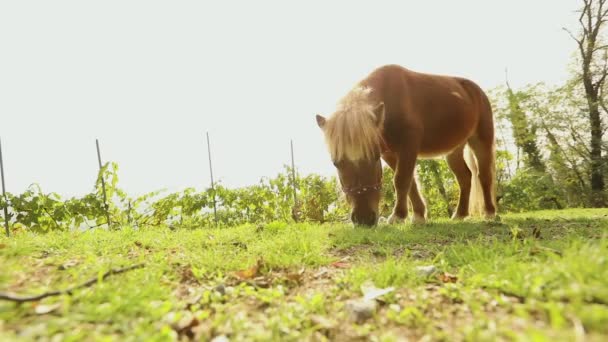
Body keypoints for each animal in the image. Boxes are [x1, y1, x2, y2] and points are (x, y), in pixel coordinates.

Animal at [316, 63, 496, 227]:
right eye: (336, 163)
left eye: (374, 158)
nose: (364, 219)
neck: (390, 100)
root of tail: (475, 90)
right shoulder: (389, 153)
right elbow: (411, 183)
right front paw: (418, 215)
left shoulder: (408, 146)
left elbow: (401, 180)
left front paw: (398, 216)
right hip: (454, 150)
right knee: (464, 177)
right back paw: (460, 214)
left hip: (481, 140)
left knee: (484, 175)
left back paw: (489, 213)